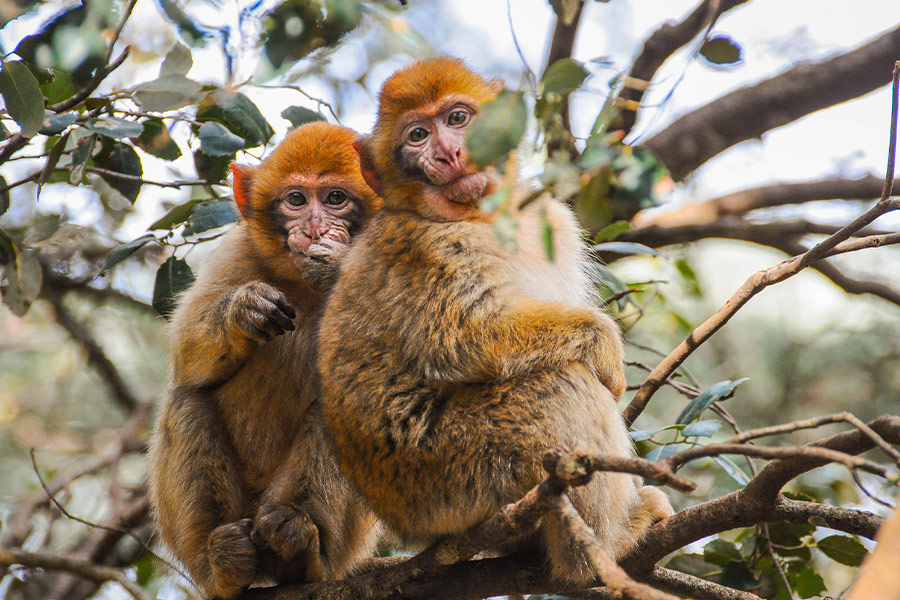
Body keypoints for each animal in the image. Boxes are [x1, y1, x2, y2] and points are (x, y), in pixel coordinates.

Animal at [147, 122, 382, 600]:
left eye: (335, 198)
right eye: (296, 200)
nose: (314, 227)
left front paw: (337, 264)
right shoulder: (238, 251)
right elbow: (186, 359)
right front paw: (243, 310)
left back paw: (298, 548)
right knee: (187, 399)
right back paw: (225, 564)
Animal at [317, 58, 672, 586]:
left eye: (457, 118)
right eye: (418, 135)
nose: (448, 152)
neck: (484, 216)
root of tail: (407, 528)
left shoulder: (552, 219)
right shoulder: (429, 248)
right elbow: (463, 338)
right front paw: (606, 348)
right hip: (448, 475)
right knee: (559, 385)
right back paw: (598, 553)